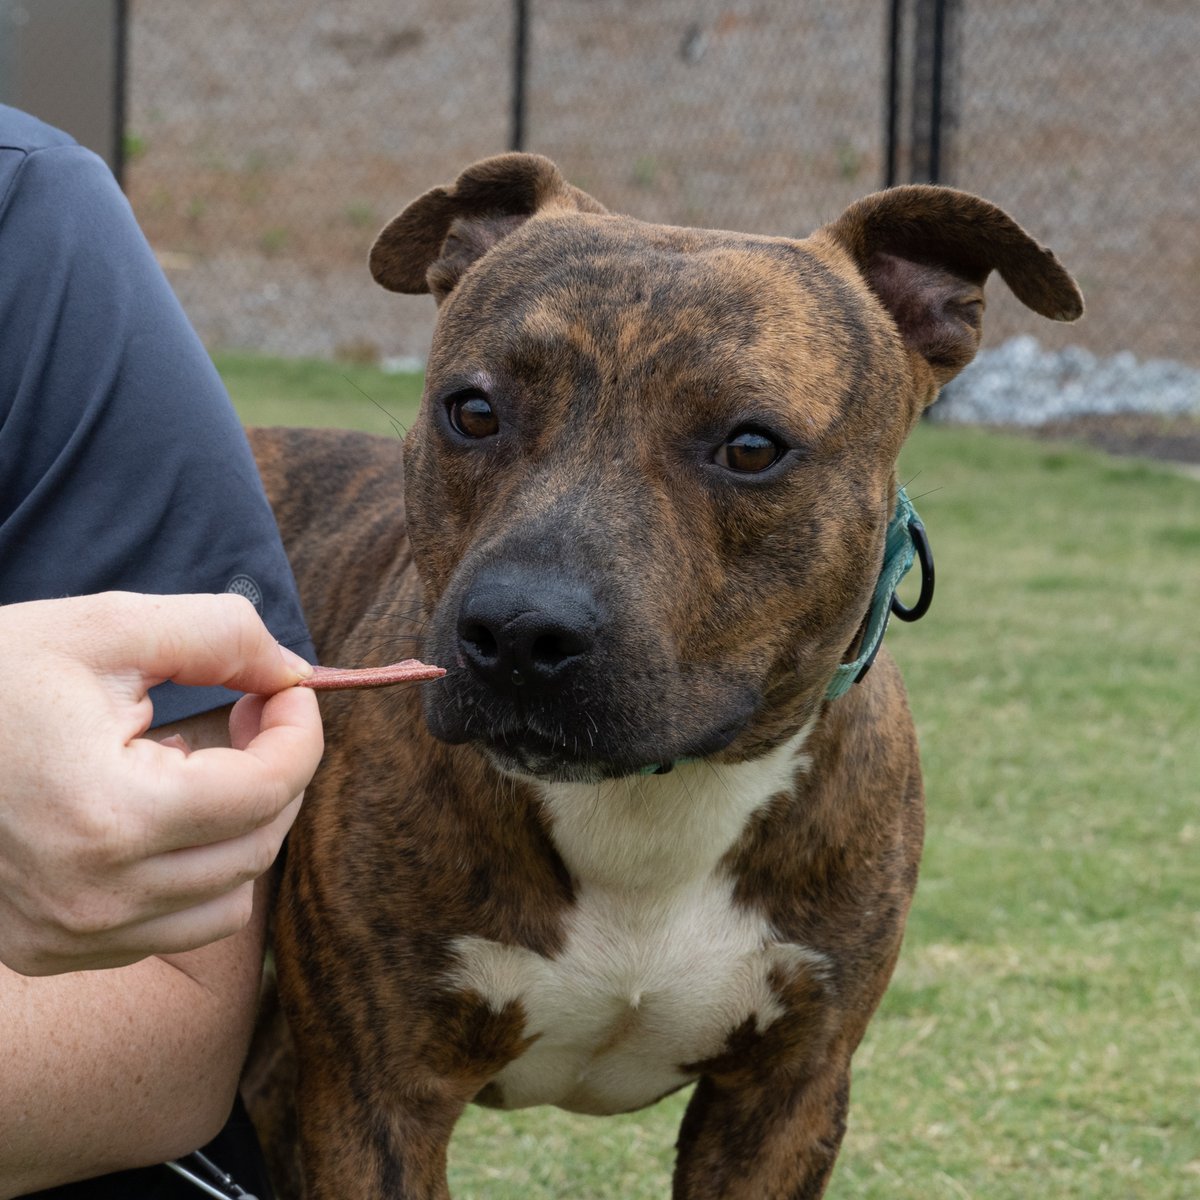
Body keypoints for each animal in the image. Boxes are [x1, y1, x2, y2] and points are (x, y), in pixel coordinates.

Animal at [241, 154, 1080, 1195]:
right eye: (472, 410)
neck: (649, 808)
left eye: (752, 446)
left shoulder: (785, 1101)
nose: (518, 630)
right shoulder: (377, 1094)